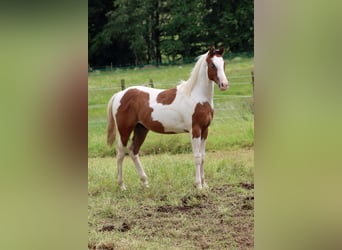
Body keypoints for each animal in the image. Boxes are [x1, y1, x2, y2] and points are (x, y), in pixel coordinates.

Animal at [107, 47, 228, 189]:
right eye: (212, 65)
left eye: (223, 63)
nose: (224, 84)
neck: (197, 96)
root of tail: (119, 94)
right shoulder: (195, 130)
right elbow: (197, 157)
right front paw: (198, 185)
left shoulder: (205, 130)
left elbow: (203, 156)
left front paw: (205, 184)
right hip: (124, 130)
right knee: (120, 153)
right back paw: (122, 186)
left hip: (141, 129)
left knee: (133, 151)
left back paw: (145, 182)